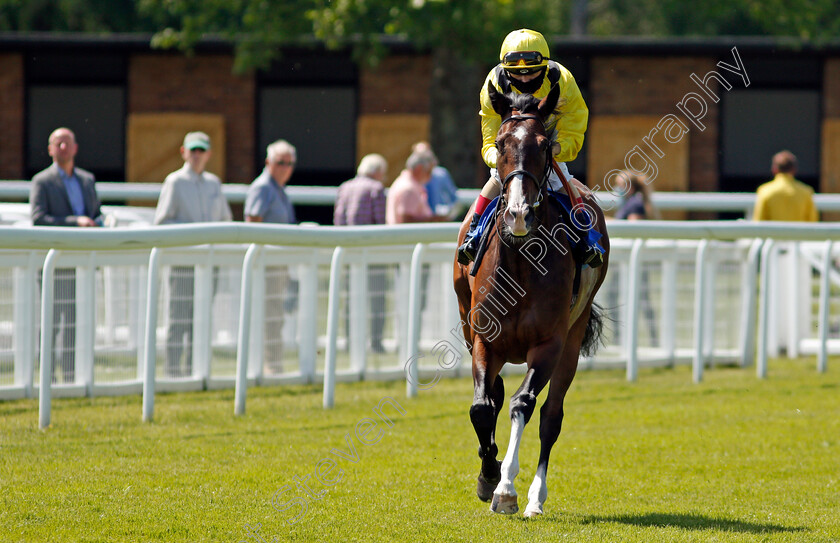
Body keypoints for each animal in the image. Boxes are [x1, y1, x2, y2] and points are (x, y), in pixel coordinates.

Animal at [452, 82, 612, 520]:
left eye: (543, 145)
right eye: (501, 143)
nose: (519, 214)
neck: (521, 264)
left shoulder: (549, 344)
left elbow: (523, 404)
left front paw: (506, 488)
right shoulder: (483, 340)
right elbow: (482, 406)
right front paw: (487, 475)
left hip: (572, 340)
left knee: (551, 416)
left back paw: (536, 498)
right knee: (494, 395)